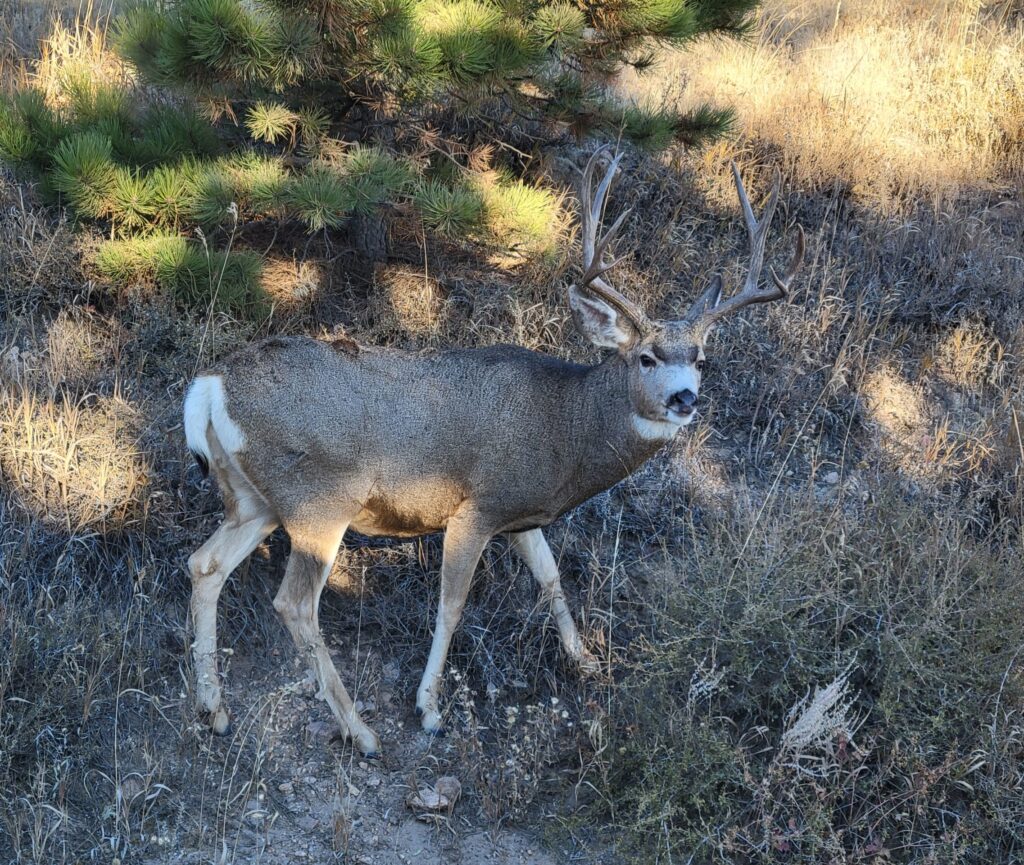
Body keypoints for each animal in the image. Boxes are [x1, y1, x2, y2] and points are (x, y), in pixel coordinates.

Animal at [182, 149, 804, 756]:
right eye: (646, 357)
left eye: (700, 358)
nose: (684, 398)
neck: (563, 427)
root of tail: (210, 385)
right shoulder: (476, 508)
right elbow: (452, 604)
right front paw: (429, 709)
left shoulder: (521, 512)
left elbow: (551, 578)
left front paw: (587, 661)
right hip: (319, 502)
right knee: (294, 604)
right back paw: (360, 732)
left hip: (254, 500)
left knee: (204, 564)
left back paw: (214, 710)